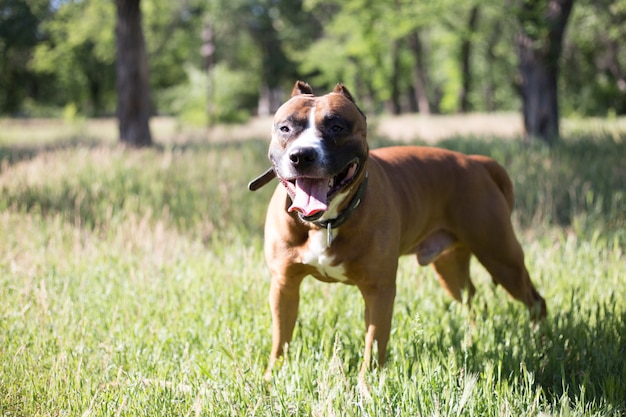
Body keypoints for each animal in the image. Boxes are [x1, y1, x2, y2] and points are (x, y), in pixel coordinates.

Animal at [249, 79, 544, 378]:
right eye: (286, 128)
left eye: (336, 127)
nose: (302, 155)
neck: (326, 222)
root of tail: (477, 162)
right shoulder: (284, 285)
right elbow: (281, 339)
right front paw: (272, 376)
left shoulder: (379, 290)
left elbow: (374, 342)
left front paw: (366, 384)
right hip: (451, 269)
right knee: (473, 299)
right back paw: (473, 340)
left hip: (502, 257)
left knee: (534, 300)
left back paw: (539, 342)